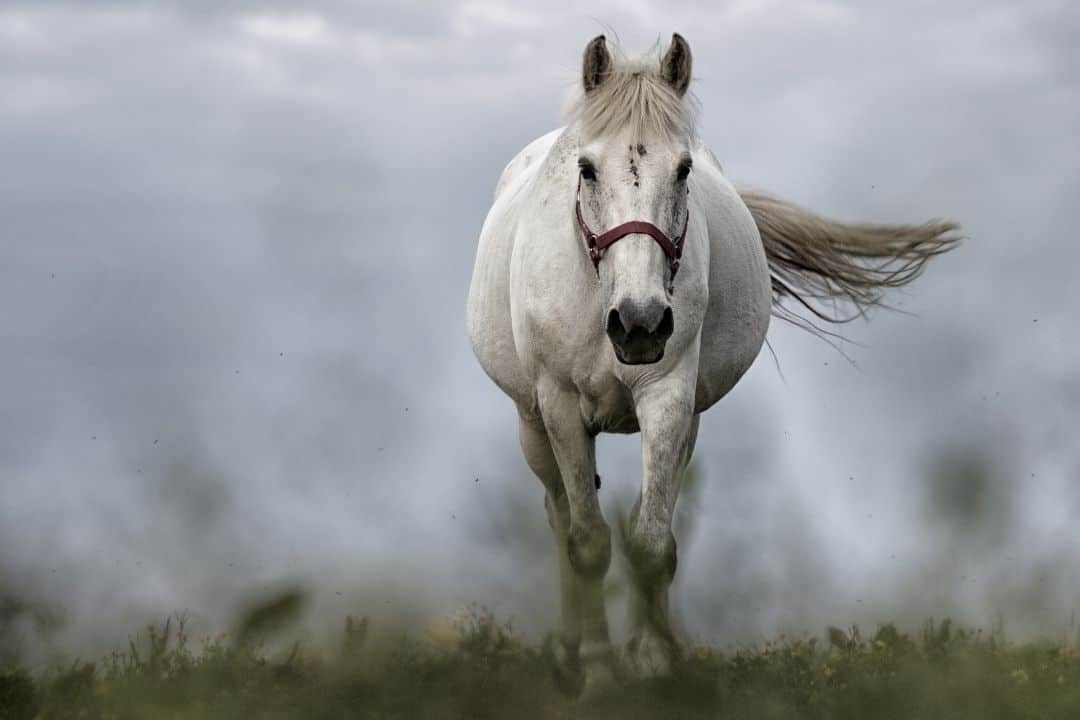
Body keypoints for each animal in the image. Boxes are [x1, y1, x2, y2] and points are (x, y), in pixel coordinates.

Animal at [466, 33, 959, 695]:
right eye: (587, 168)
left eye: (683, 170)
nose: (640, 323)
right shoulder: (560, 406)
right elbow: (588, 543)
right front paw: (598, 674)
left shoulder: (669, 396)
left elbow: (651, 543)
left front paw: (653, 662)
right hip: (531, 423)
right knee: (559, 516)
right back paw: (570, 653)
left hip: (685, 423)